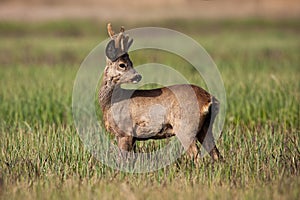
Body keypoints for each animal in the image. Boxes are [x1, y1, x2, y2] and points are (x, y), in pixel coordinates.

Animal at [99, 23, 221, 163]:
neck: (111, 103)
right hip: (205, 128)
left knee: (196, 156)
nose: (138, 76)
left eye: (130, 63)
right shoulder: (132, 137)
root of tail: (209, 99)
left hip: (185, 127)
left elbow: (123, 161)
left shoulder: (125, 132)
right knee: (217, 155)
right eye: (122, 64)